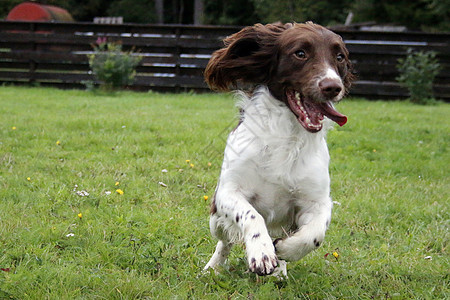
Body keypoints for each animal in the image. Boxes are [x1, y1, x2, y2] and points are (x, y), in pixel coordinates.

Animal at [202, 21, 354, 276]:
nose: (333, 87)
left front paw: (284, 250)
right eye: (300, 53)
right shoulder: (228, 191)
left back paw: (280, 270)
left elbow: (315, 233)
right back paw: (213, 268)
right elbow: (251, 215)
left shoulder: (316, 201)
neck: (288, 137)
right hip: (216, 221)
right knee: (225, 239)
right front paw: (262, 252)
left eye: (340, 57)